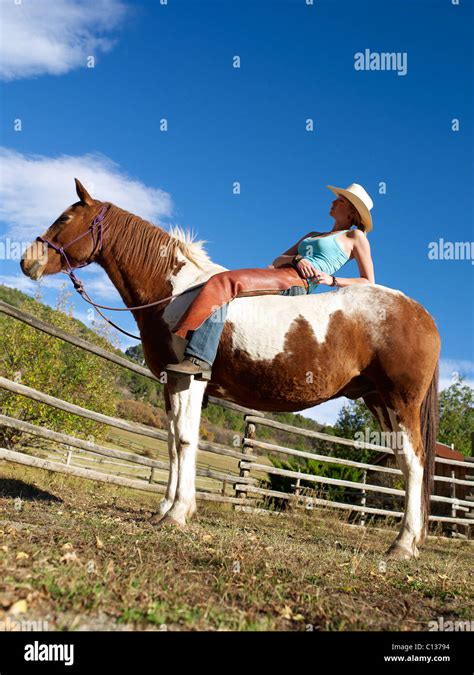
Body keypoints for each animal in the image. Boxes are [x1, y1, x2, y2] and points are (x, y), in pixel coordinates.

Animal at [19, 180, 440, 560]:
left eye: (65, 217)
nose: (27, 261)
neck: (176, 292)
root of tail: (422, 314)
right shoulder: (172, 381)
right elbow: (171, 442)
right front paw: (164, 509)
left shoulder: (190, 377)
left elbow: (186, 440)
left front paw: (177, 513)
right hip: (379, 402)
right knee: (406, 466)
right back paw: (409, 539)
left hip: (401, 401)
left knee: (415, 464)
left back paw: (402, 545)